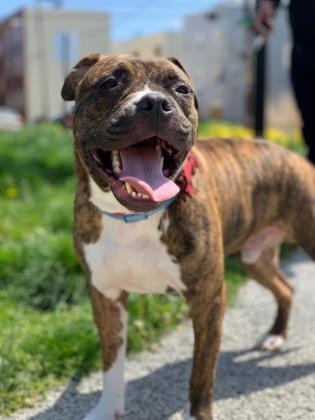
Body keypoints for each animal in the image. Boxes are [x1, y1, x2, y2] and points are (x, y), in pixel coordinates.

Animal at [61, 54, 315, 418]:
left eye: (181, 89)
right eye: (109, 83)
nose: (155, 103)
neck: (134, 217)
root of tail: (294, 157)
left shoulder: (209, 298)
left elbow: (202, 372)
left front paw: (198, 413)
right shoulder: (106, 296)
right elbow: (111, 362)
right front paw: (107, 408)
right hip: (255, 258)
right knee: (287, 287)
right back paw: (275, 336)